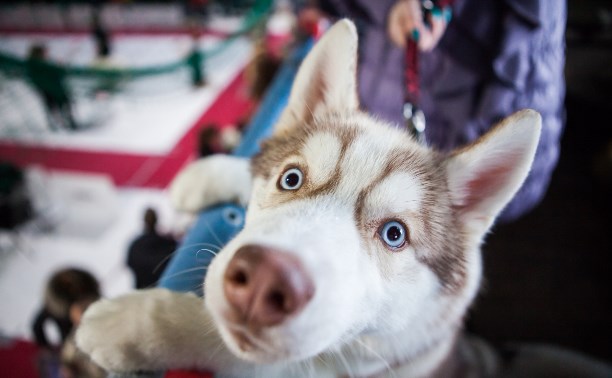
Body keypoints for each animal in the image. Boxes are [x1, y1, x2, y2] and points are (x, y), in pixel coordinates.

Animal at [76, 19, 596, 378]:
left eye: (394, 234)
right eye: (290, 179)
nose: (261, 282)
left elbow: (227, 340)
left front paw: (138, 325)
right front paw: (209, 174)